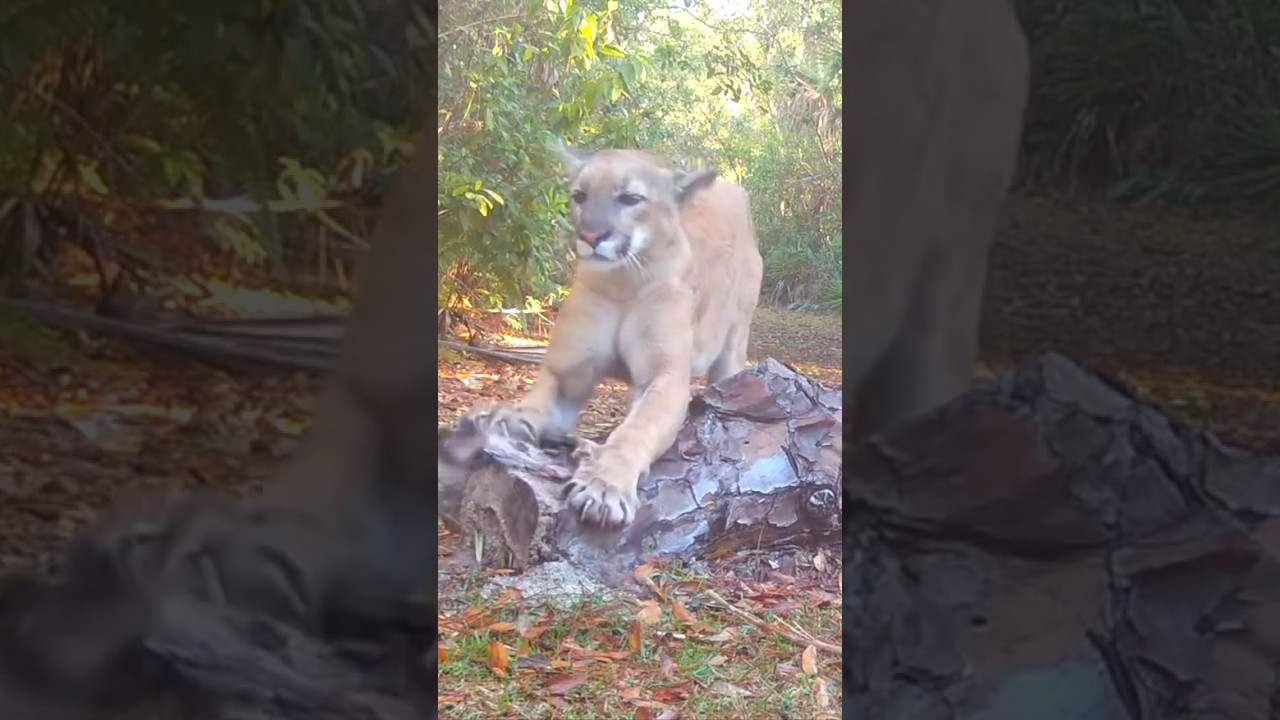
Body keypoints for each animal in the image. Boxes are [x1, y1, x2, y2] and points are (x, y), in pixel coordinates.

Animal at [467, 146, 763, 530]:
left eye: (630, 198)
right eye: (579, 195)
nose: (592, 236)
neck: (624, 282)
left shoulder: (665, 376)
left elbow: (636, 429)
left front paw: (604, 487)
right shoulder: (568, 370)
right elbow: (538, 399)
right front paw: (509, 419)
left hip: (733, 341)